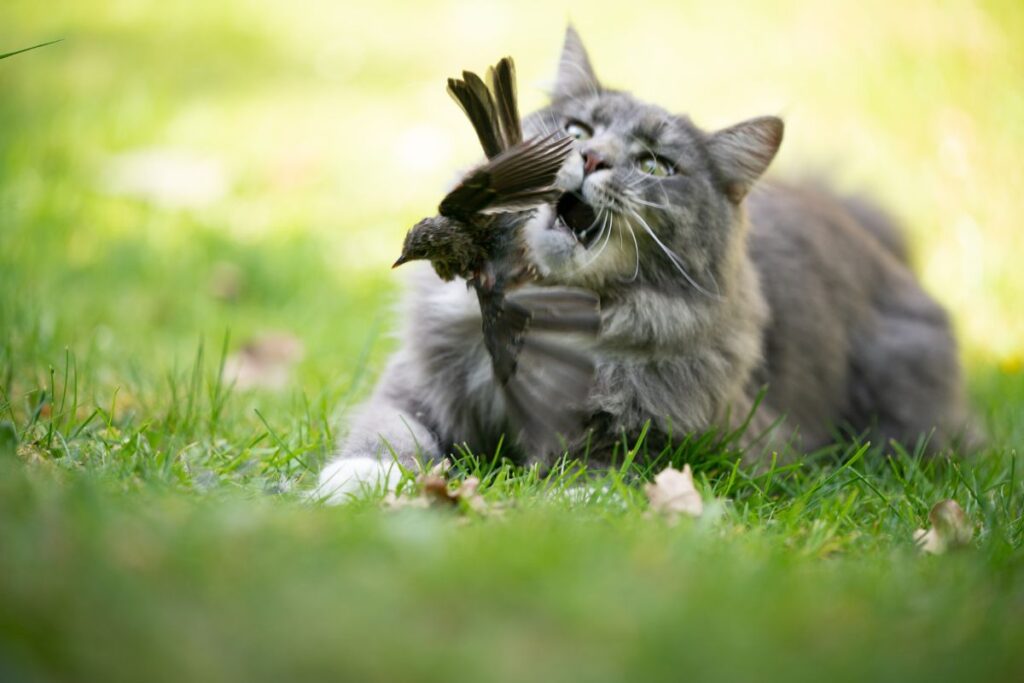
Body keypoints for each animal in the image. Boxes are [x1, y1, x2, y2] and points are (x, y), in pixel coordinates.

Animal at [315, 28, 970, 501]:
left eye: (656, 165)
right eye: (578, 129)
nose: (591, 158)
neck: (549, 315)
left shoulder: (703, 442)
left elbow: (604, 467)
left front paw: (570, 506)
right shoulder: (417, 384)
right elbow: (389, 430)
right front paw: (356, 484)